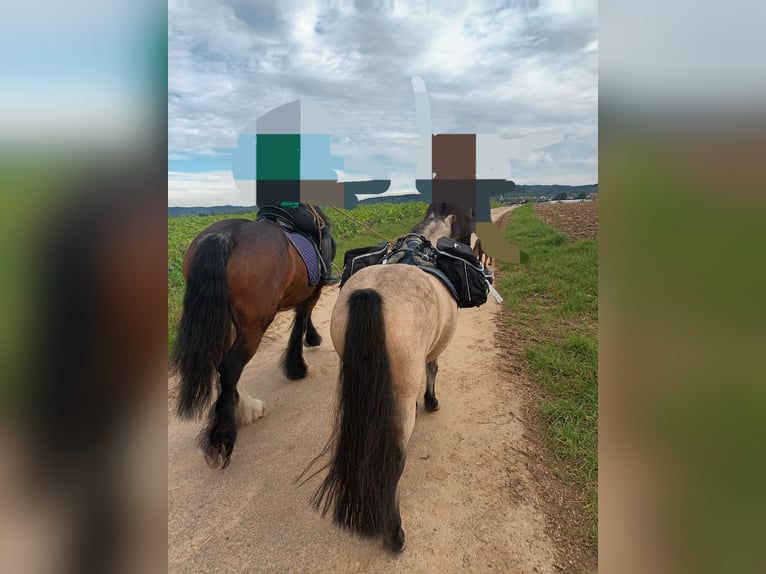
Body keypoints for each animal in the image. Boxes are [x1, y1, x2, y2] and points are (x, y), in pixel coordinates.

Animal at [172, 209, 332, 470]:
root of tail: (224, 235)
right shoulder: (313, 290)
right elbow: (301, 318)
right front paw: (299, 363)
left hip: (224, 318)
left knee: (221, 363)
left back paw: (245, 409)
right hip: (254, 326)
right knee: (230, 367)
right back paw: (222, 438)